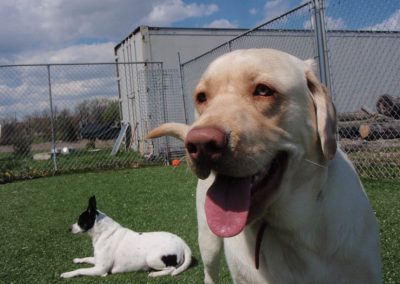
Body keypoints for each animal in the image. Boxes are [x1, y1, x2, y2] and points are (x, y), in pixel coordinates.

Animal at [59, 196, 192, 278]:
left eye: (80, 221)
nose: (69, 228)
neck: (103, 233)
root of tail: (183, 243)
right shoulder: (97, 261)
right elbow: (87, 258)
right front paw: (78, 260)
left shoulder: (100, 269)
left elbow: (80, 270)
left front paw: (67, 274)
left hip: (151, 258)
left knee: (171, 269)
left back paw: (155, 274)